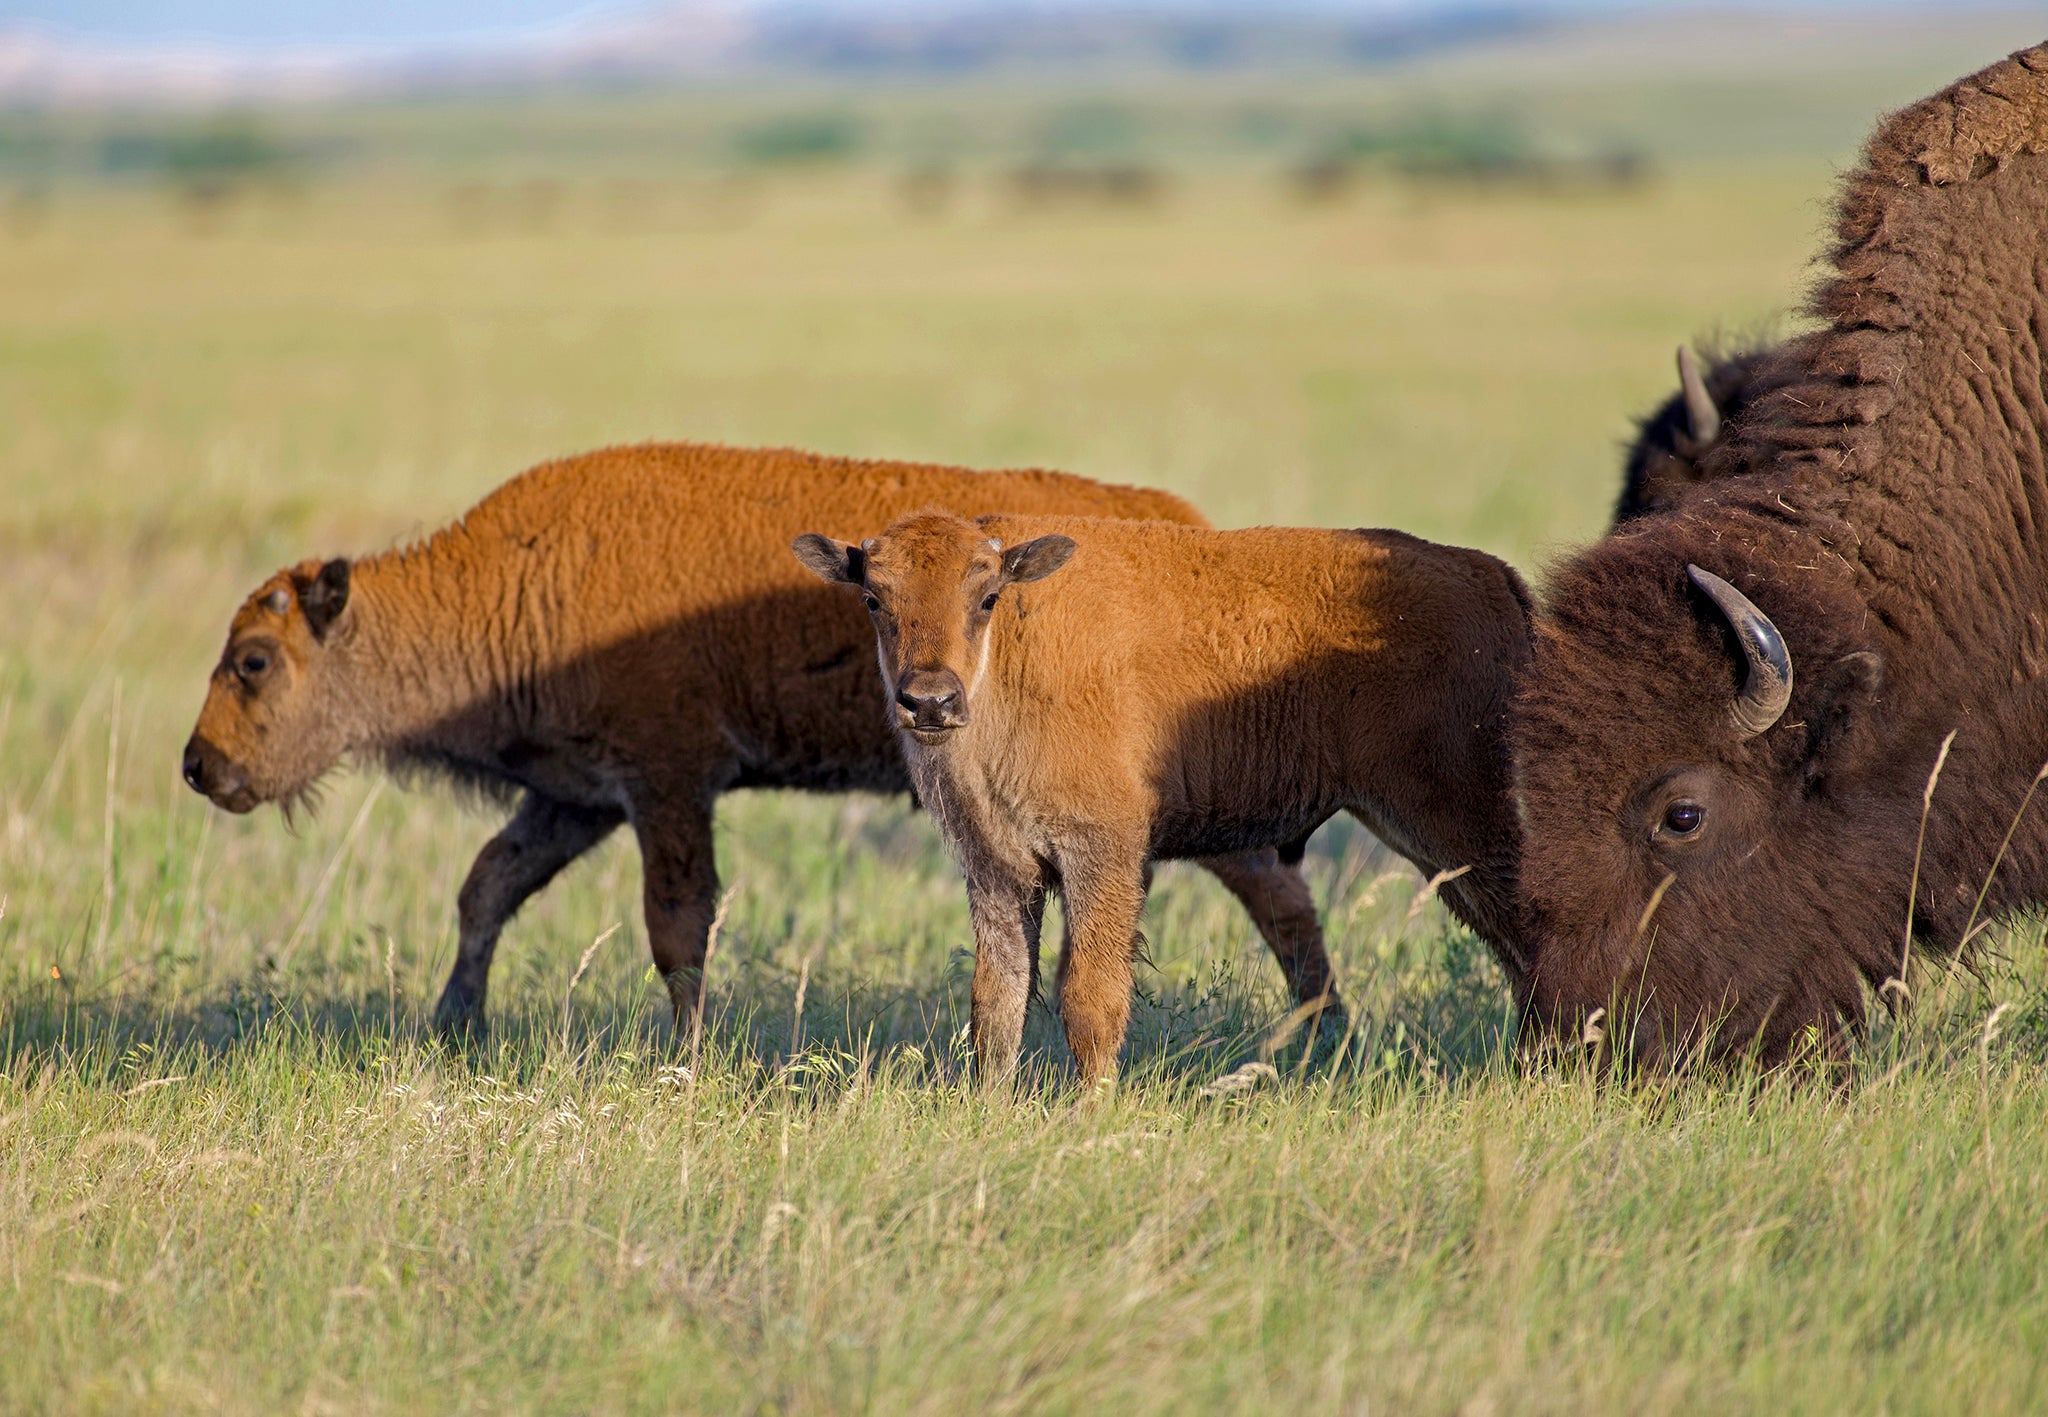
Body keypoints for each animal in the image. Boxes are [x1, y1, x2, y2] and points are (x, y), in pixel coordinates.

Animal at [180, 440, 1343, 1027]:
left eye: (254, 660)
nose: (200, 767)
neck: (519, 577)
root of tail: (1191, 531)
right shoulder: (575, 796)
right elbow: (488, 887)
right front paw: (453, 1025)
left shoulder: (666, 781)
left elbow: (676, 922)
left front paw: (687, 1050)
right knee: (1283, 899)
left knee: (1278, 897)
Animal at [790, 509, 1531, 1081]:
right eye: (874, 600)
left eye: (986, 597)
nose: (930, 700)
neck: (1012, 656)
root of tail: (1495, 579)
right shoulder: (1000, 872)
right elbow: (997, 1005)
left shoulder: (1104, 857)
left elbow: (1090, 999)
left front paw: (1089, 1113)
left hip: (1457, 821)